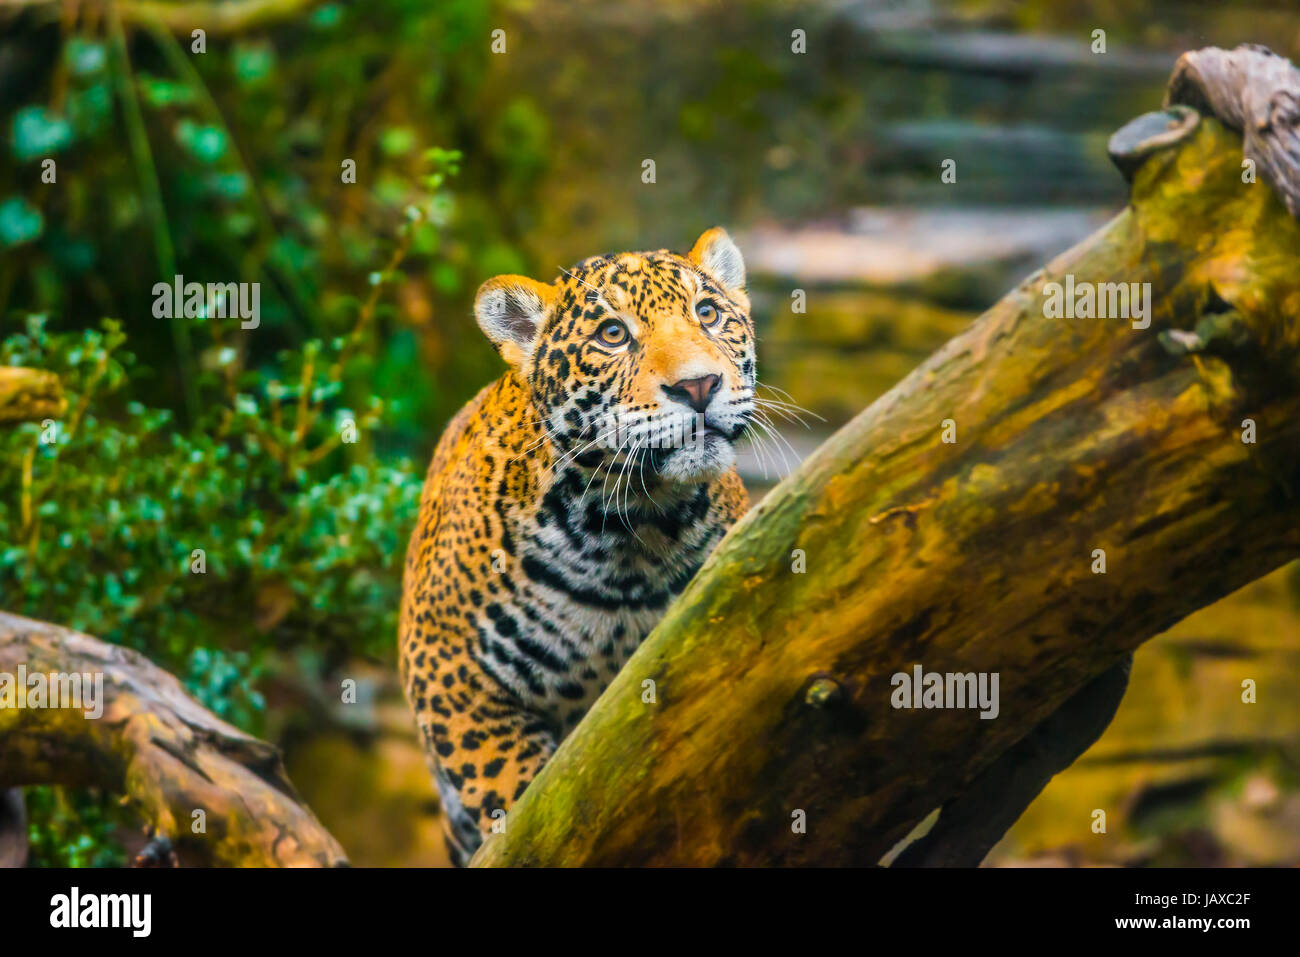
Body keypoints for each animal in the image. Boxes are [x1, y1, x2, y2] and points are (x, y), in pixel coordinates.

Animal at [399, 228, 756, 865]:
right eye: (612, 335)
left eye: (709, 314)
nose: (698, 386)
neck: (635, 530)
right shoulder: (444, 664)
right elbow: (512, 789)